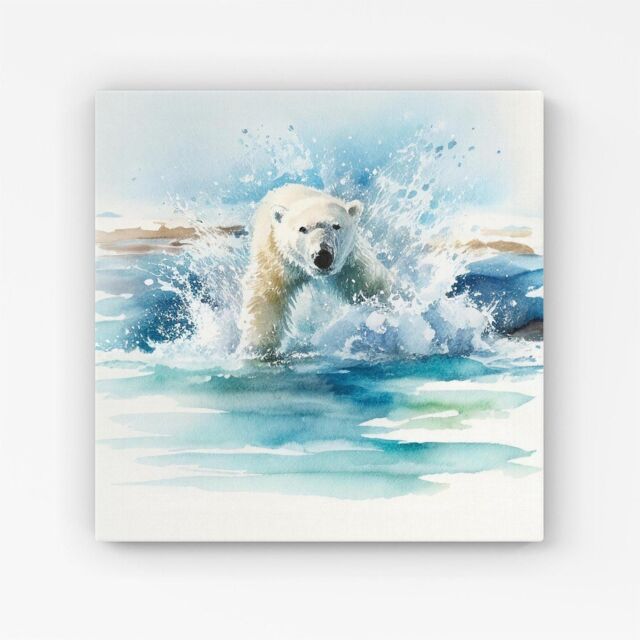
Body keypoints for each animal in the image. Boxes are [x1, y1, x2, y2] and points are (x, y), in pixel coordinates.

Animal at [238, 184, 391, 357]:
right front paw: (256, 348)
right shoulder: (277, 259)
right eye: (302, 228)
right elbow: (264, 299)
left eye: (336, 226)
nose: (322, 256)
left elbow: (371, 285)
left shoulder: (350, 263)